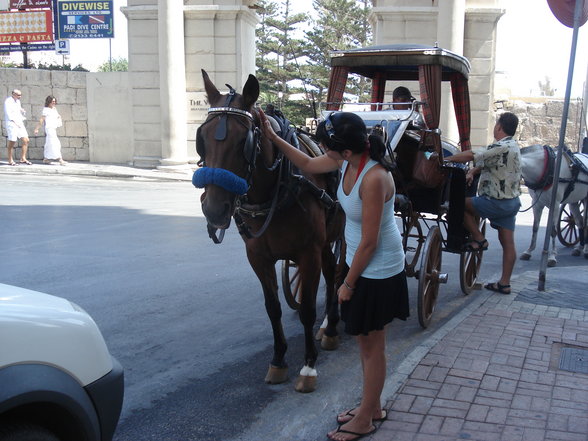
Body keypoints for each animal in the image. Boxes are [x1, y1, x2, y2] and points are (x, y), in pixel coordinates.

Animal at [195, 69, 344, 392]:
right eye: (202, 139)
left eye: (244, 141)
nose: (214, 210)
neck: (281, 183)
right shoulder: (258, 257)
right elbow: (272, 307)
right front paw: (278, 361)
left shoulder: (308, 253)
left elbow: (307, 309)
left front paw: (308, 366)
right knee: (332, 272)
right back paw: (329, 326)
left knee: (340, 273)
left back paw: (331, 328)